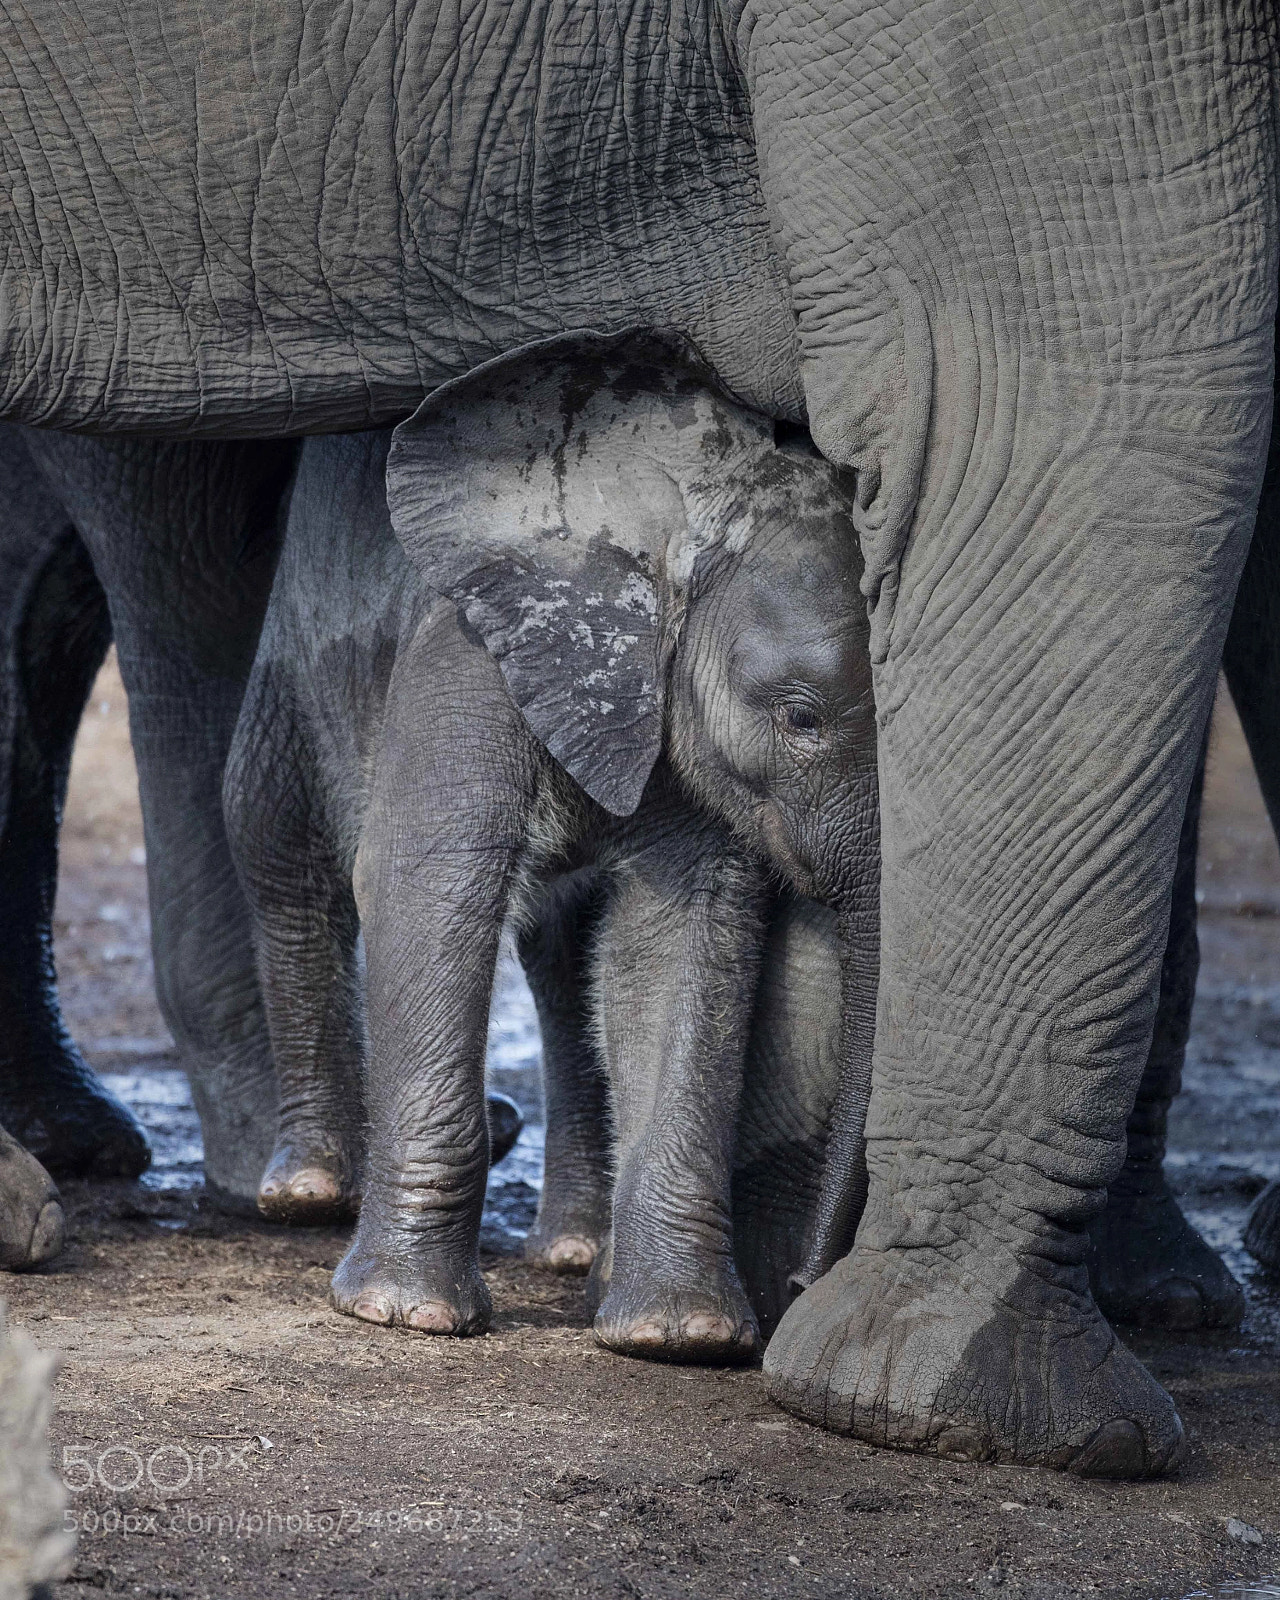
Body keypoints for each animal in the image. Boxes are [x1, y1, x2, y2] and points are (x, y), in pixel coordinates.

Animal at [223, 333, 881, 1362]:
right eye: (801, 719)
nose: (805, 1283)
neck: (681, 505)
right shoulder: (470, 641)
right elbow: (426, 879)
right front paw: (402, 1313)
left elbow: (682, 930)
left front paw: (676, 1337)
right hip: (298, 644)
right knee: (276, 844)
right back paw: (308, 1192)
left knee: (565, 947)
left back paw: (570, 1251)